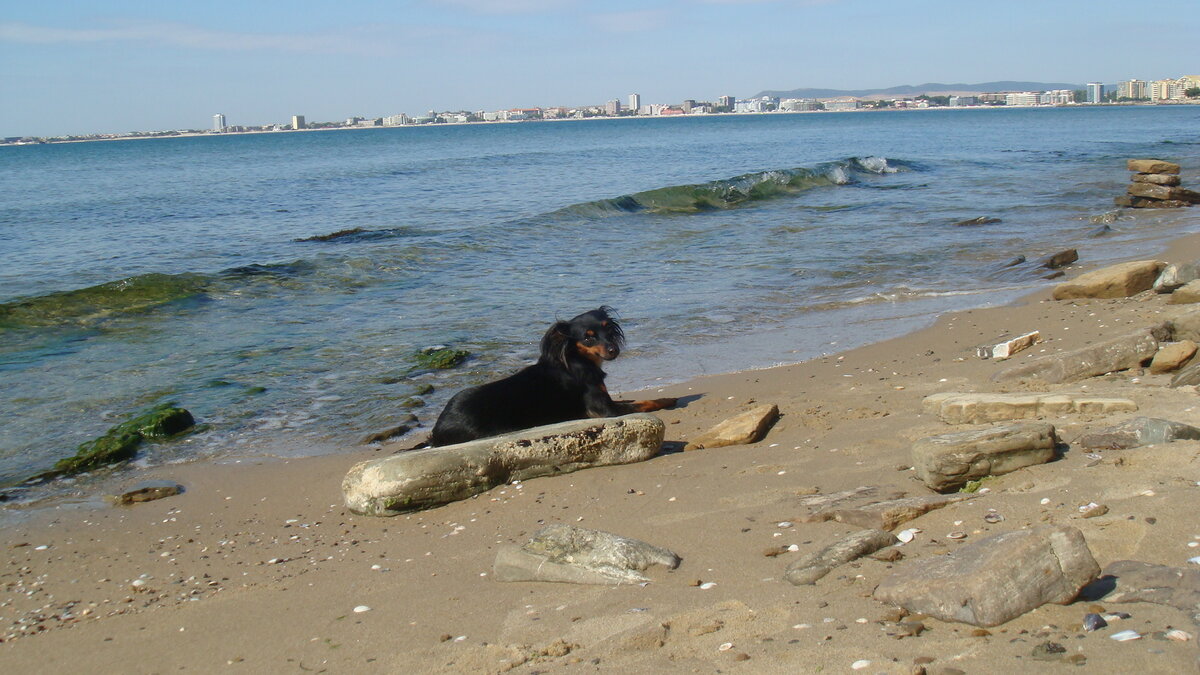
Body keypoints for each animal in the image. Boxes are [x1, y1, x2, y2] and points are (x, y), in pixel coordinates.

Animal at [429, 306, 676, 444]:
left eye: (608, 328)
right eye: (588, 338)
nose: (613, 350)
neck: (577, 360)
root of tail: (438, 428)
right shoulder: (604, 411)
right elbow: (642, 402)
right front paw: (668, 399)